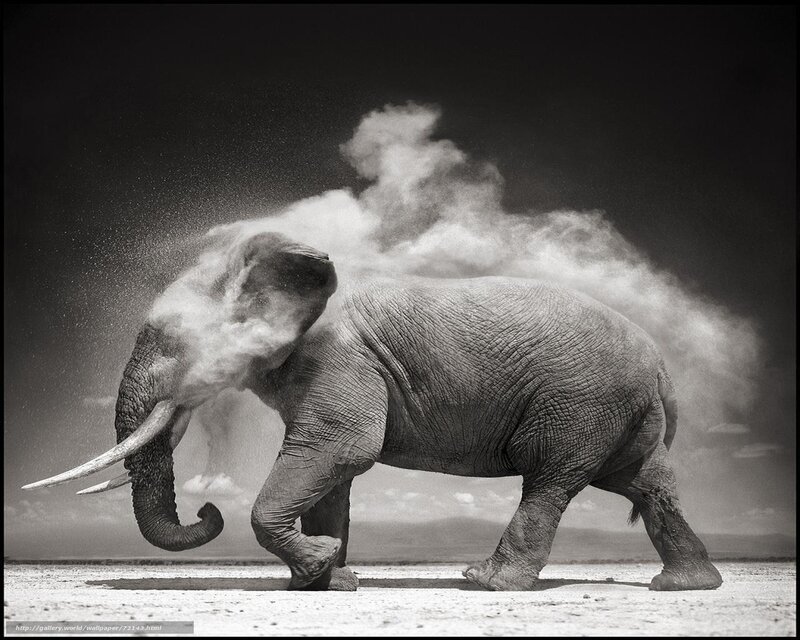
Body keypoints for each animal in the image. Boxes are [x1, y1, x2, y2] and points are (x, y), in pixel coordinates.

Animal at [24, 231, 723, 592]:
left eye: (172, 343)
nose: (206, 510)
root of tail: (662, 366)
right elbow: (334, 474)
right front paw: (326, 578)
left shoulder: (340, 359)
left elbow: (340, 449)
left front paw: (318, 565)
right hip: (619, 411)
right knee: (645, 483)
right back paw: (687, 586)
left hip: (580, 401)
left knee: (551, 480)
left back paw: (484, 582)